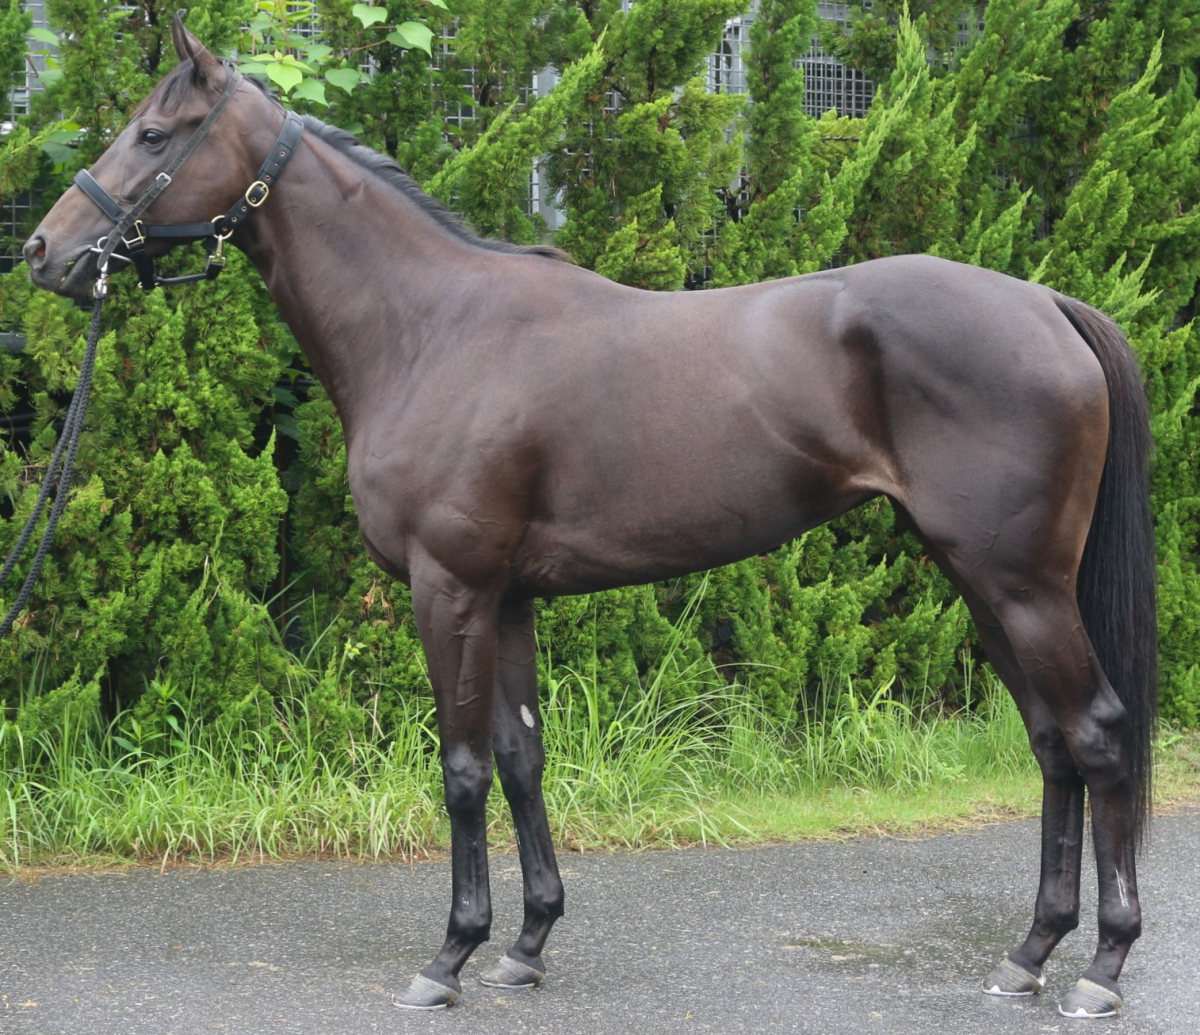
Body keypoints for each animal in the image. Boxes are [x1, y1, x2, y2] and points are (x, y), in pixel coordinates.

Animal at [23, 15, 1156, 1019]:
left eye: (154, 134)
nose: (43, 251)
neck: (431, 329)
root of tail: (1047, 305)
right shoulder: (510, 597)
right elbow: (522, 758)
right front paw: (526, 945)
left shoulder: (451, 588)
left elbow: (463, 769)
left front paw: (449, 957)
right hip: (982, 583)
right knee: (1052, 742)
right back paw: (1028, 954)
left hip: (1020, 584)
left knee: (1097, 734)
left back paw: (1101, 967)